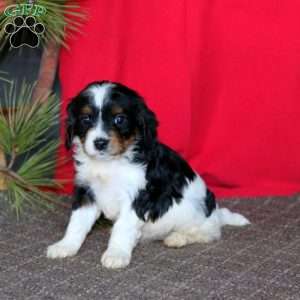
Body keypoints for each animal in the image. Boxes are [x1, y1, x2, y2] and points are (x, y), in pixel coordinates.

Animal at [46, 81, 248, 268]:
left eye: (119, 119)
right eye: (86, 119)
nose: (100, 143)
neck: (110, 163)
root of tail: (217, 213)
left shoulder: (137, 198)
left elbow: (122, 227)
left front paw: (116, 254)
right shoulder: (86, 191)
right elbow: (77, 222)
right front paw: (65, 246)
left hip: (196, 211)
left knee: (208, 233)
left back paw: (178, 238)